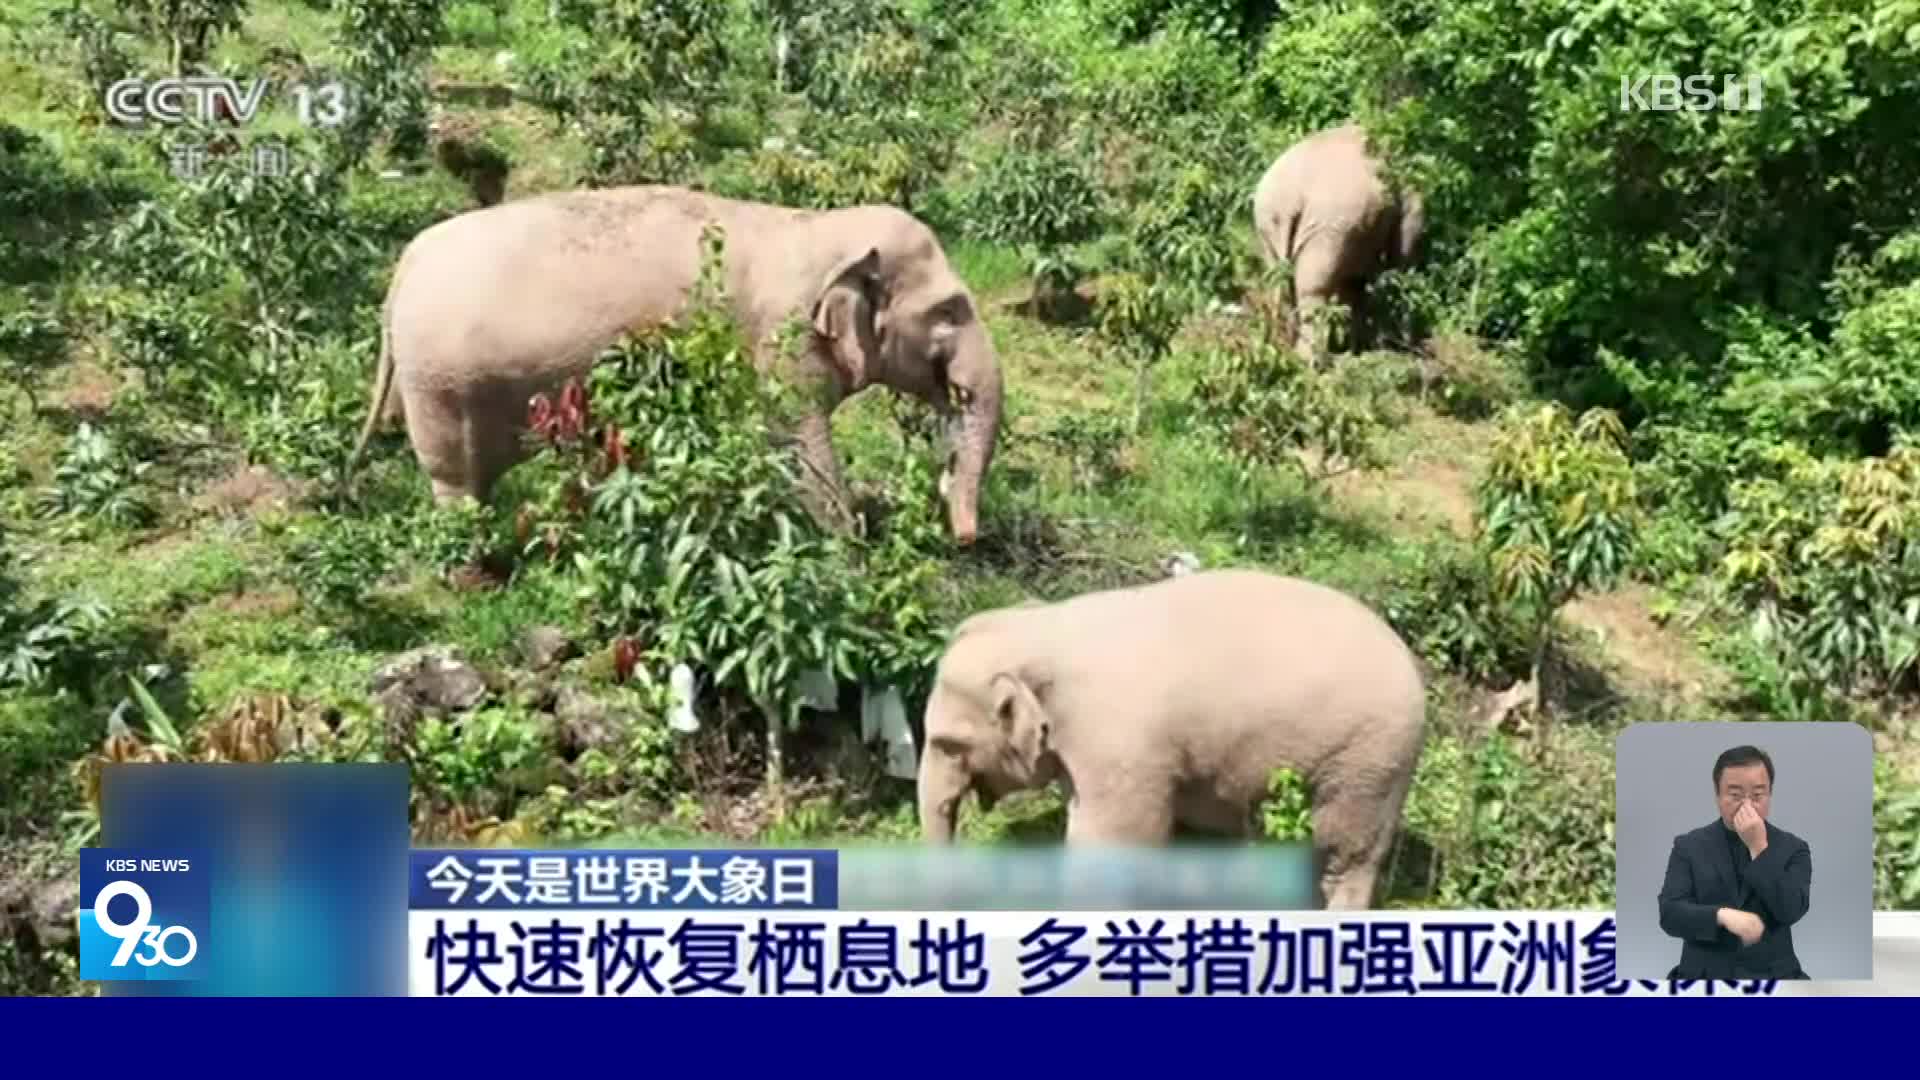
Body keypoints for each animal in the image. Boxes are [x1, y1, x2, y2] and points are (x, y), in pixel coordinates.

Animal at [345, 182, 1006, 545]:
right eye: (950, 309)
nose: (965, 536)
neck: (817, 229)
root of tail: (402, 270)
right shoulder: (782, 342)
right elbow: (798, 442)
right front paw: (850, 546)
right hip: (442, 384)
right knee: (455, 480)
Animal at [913, 568, 1428, 903]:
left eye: (948, 745)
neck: (1046, 630)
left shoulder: (1119, 743)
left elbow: (1114, 841)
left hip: (1369, 762)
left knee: (1344, 857)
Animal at [1244, 122, 1428, 361]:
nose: (1412, 347)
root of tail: (1291, 197)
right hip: (1329, 224)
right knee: (1314, 287)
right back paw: (1309, 360)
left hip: (1268, 223)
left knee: (1280, 278)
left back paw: (1285, 349)